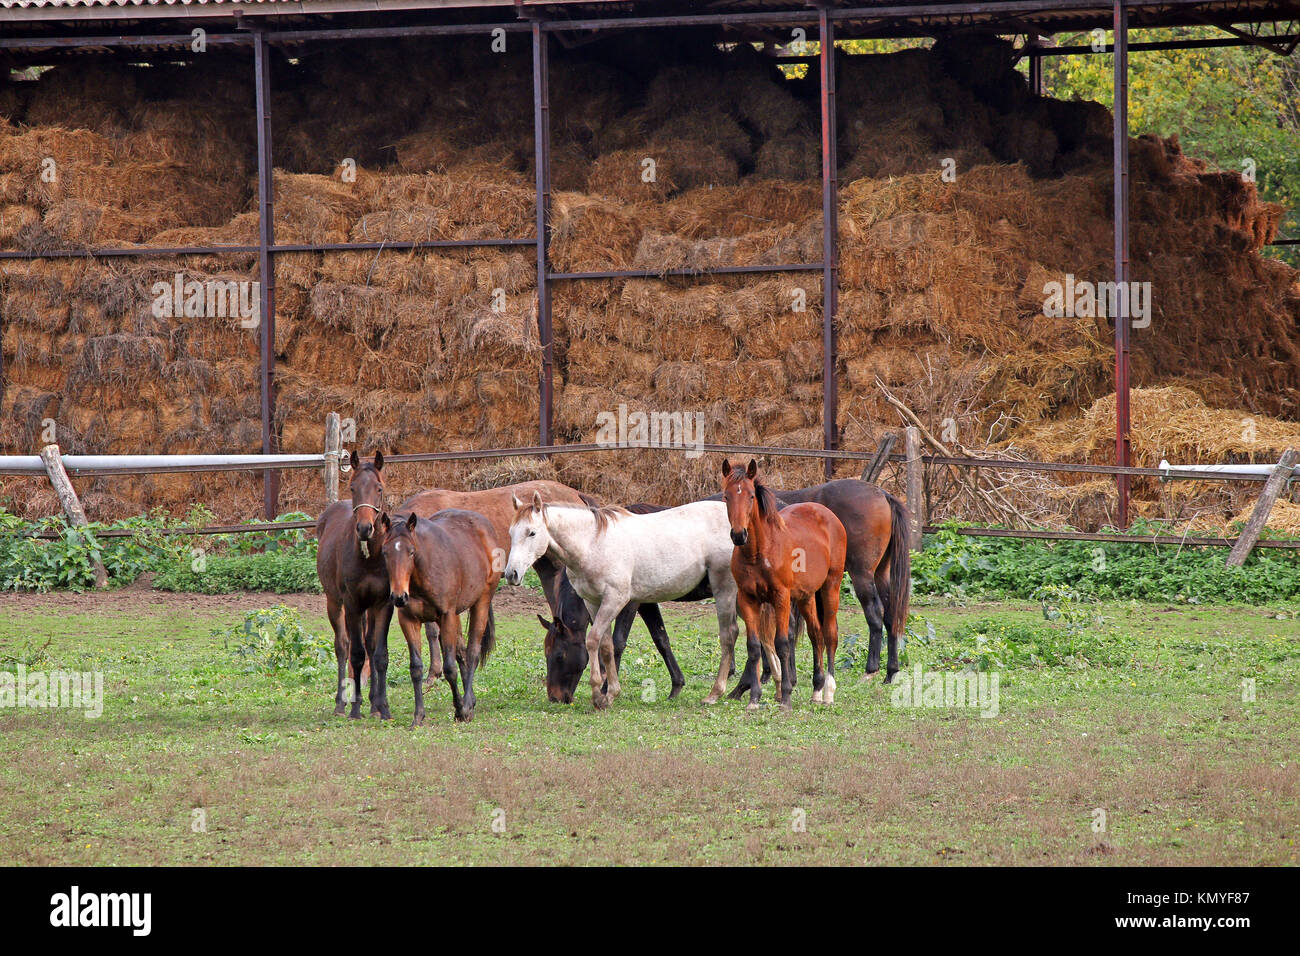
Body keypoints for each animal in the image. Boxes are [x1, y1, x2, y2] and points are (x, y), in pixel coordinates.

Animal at [379, 509, 499, 723]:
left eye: (411, 552)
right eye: (385, 552)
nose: (399, 596)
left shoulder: (447, 616)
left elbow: (450, 667)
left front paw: (461, 709)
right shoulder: (409, 620)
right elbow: (416, 667)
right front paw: (418, 716)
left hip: (481, 603)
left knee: (472, 652)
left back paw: (467, 704)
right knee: (461, 652)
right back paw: (471, 700)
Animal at [501, 494, 738, 712]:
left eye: (532, 532)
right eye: (511, 533)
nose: (511, 574)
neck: (593, 545)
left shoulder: (618, 600)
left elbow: (597, 641)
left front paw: (599, 693)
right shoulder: (594, 602)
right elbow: (607, 645)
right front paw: (610, 694)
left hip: (724, 590)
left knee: (728, 635)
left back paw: (716, 693)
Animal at [717, 455, 847, 712]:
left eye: (750, 495)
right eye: (726, 496)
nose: (739, 535)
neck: (759, 553)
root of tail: (828, 516)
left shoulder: (781, 597)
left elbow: (782, 643)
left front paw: (785, 696)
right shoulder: (748, 599)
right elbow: (754, 647)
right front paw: (754, 698)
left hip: (831, 588)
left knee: (830, 635)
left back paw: (828, 691)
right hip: (806, 597)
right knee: (816, 635)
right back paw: (817, 690)